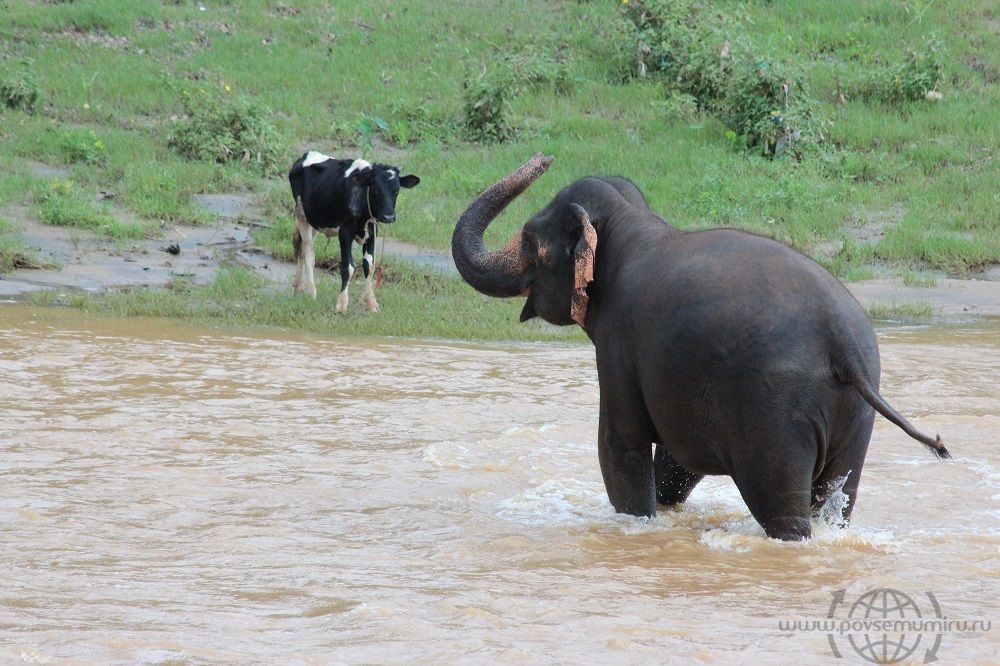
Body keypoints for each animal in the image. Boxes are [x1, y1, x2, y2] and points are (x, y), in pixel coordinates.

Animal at [288, 152, 420, 312]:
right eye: (375, 188)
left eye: (397, 190)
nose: (389, 217)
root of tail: (305, 155)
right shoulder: (345, 232)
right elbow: (347, 267)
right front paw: (341, 305)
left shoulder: (372, 232)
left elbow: (369, 266)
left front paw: (372, 303)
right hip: (302, 215)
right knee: (308, 251)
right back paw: (311, 292)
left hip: (315, 221)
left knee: (300, 247)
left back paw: (299, 287)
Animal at [450, 154, 948, 540]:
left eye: (530, 240)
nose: (545, 157)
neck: (631, 221)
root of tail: (842, 343)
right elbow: (677, 460)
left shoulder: (617, 340)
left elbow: (620, 444)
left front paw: (636, 524)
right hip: (857, 415)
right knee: (837, 497)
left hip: (775, 414)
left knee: (783, 509)